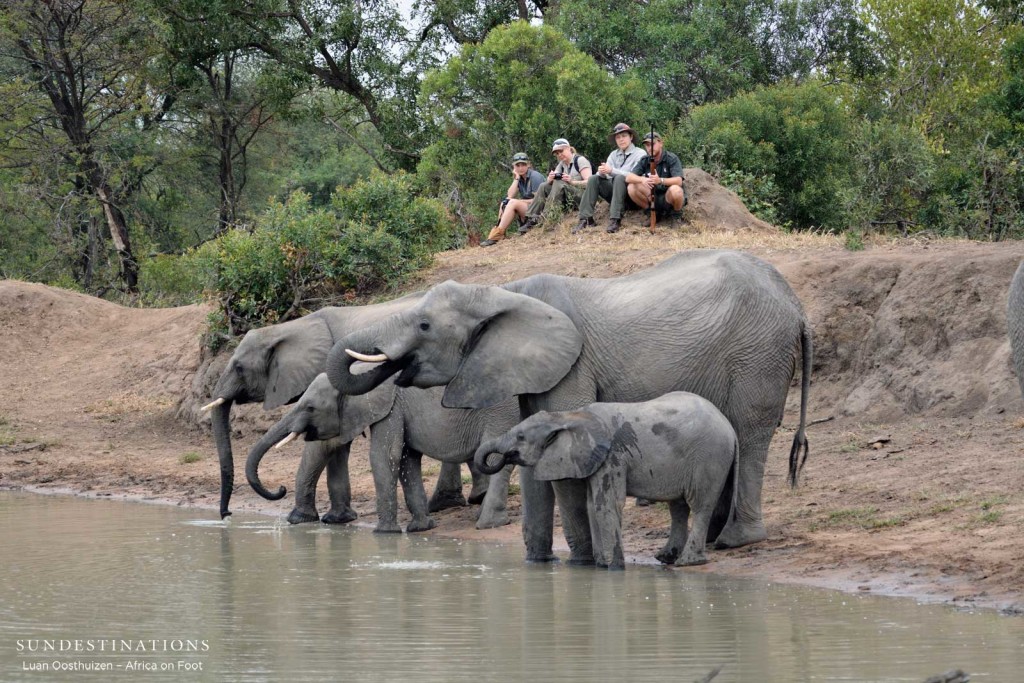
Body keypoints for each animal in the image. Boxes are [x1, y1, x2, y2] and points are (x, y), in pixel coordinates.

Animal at [245, 370, 520, 532]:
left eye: (310, 407)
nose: (280, 489)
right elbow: (407, 459)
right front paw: (420, 529)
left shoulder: (390, 407)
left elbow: (384, 455)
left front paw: (385, 533)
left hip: (500, 412)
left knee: (496, 459)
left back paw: (489, 523)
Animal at [471, 393, 737, 569]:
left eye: (520, 436)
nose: (502, 457)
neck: (567, 417)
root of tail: (731, 429)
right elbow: (592, 505)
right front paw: (600, 565)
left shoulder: (613, 457)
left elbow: (605, 504)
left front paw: (612, 568)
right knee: (678, 507)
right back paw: (666, 558)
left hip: (709, 458)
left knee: (700, 505)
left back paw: (687, 562)